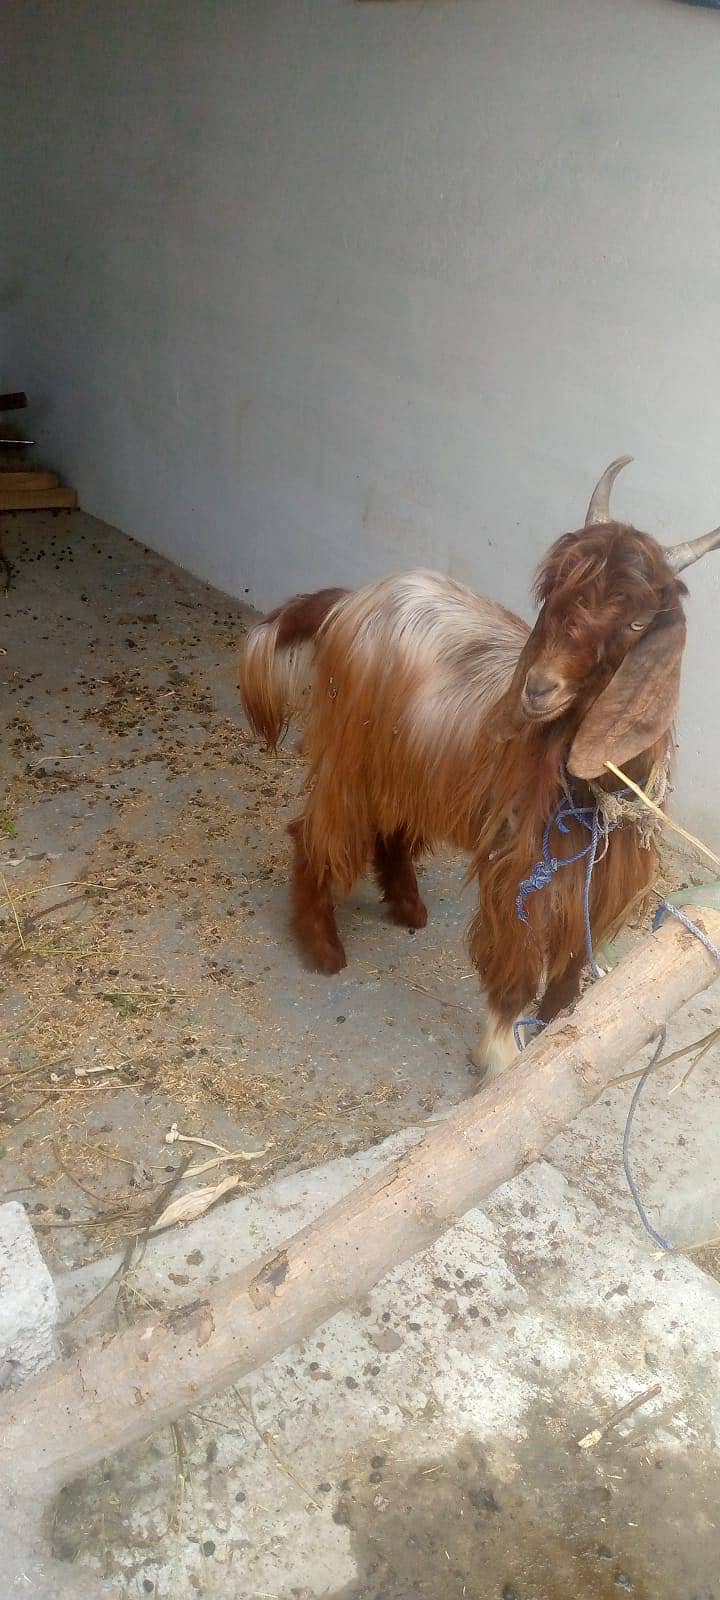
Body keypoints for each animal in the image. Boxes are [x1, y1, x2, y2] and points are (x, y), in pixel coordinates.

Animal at [240, 459, 720, 1076]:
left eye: (637, 624)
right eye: (554, 594)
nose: (537, 688)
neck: (591, 798)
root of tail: (354, 600)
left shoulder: (594, 887)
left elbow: (569, 970)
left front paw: (555, 1034)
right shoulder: (518, 872)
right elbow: (515, 962)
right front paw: (500, 1055)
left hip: (408, 764)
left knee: (389, 832)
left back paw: (409, 908)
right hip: (355, 752)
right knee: (316, 831)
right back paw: (322, 946)